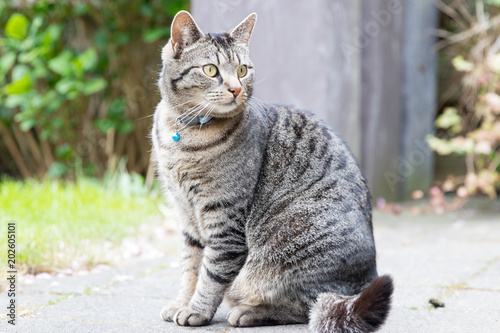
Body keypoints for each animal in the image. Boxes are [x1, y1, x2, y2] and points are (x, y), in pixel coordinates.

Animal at [150, 9, 392, 332]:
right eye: (211, 70)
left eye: (242, 70)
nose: (236, 88)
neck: (183, 133)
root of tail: (361, 286)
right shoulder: (187, 217)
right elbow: (190, 268)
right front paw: (181, 303)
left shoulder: (223, 219)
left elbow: (211, 274)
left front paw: (196, 311)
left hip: (289, 246)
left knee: (306, 306)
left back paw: (249, 312)